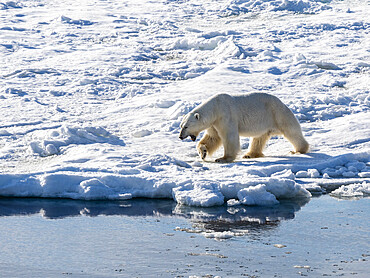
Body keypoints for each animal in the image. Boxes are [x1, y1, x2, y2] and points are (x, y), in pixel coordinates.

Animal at [179, 93, 310, 163]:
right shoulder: (214, 123)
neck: (215, 108)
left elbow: (229, 137)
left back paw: (298, 150)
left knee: (291, 131)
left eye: (186, 126)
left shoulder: (226, 116)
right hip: (264, 123)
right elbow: (212, 137)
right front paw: (203, 152)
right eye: (181, 126)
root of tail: (282, 102)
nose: (180, 136)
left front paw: (223, 158)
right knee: (258, 138)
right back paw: (249, 154)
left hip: (278, 114)